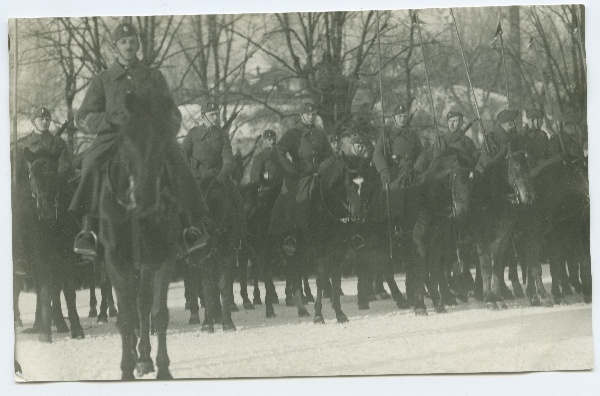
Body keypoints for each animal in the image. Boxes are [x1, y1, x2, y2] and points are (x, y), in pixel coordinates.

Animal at [12, 150, 85, 342]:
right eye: (31, 176)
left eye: (53, 174)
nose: (45, 210)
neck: (51, 225)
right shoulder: (41, 257)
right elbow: (45, 292)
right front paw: (45, 332)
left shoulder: (65, 257)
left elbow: (67, 291)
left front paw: (76, 329)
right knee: (18, 289)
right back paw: (24, 322)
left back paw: (54, 323)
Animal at [98, 91, 209, 378]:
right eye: (126, 138)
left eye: (162, 140)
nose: (145, 194)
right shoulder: (116, 262)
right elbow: (126, 317)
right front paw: (126, 370)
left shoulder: (162, 258)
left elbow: (157, 313)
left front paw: (162, 368)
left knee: (143, 305)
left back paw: (145, 358)